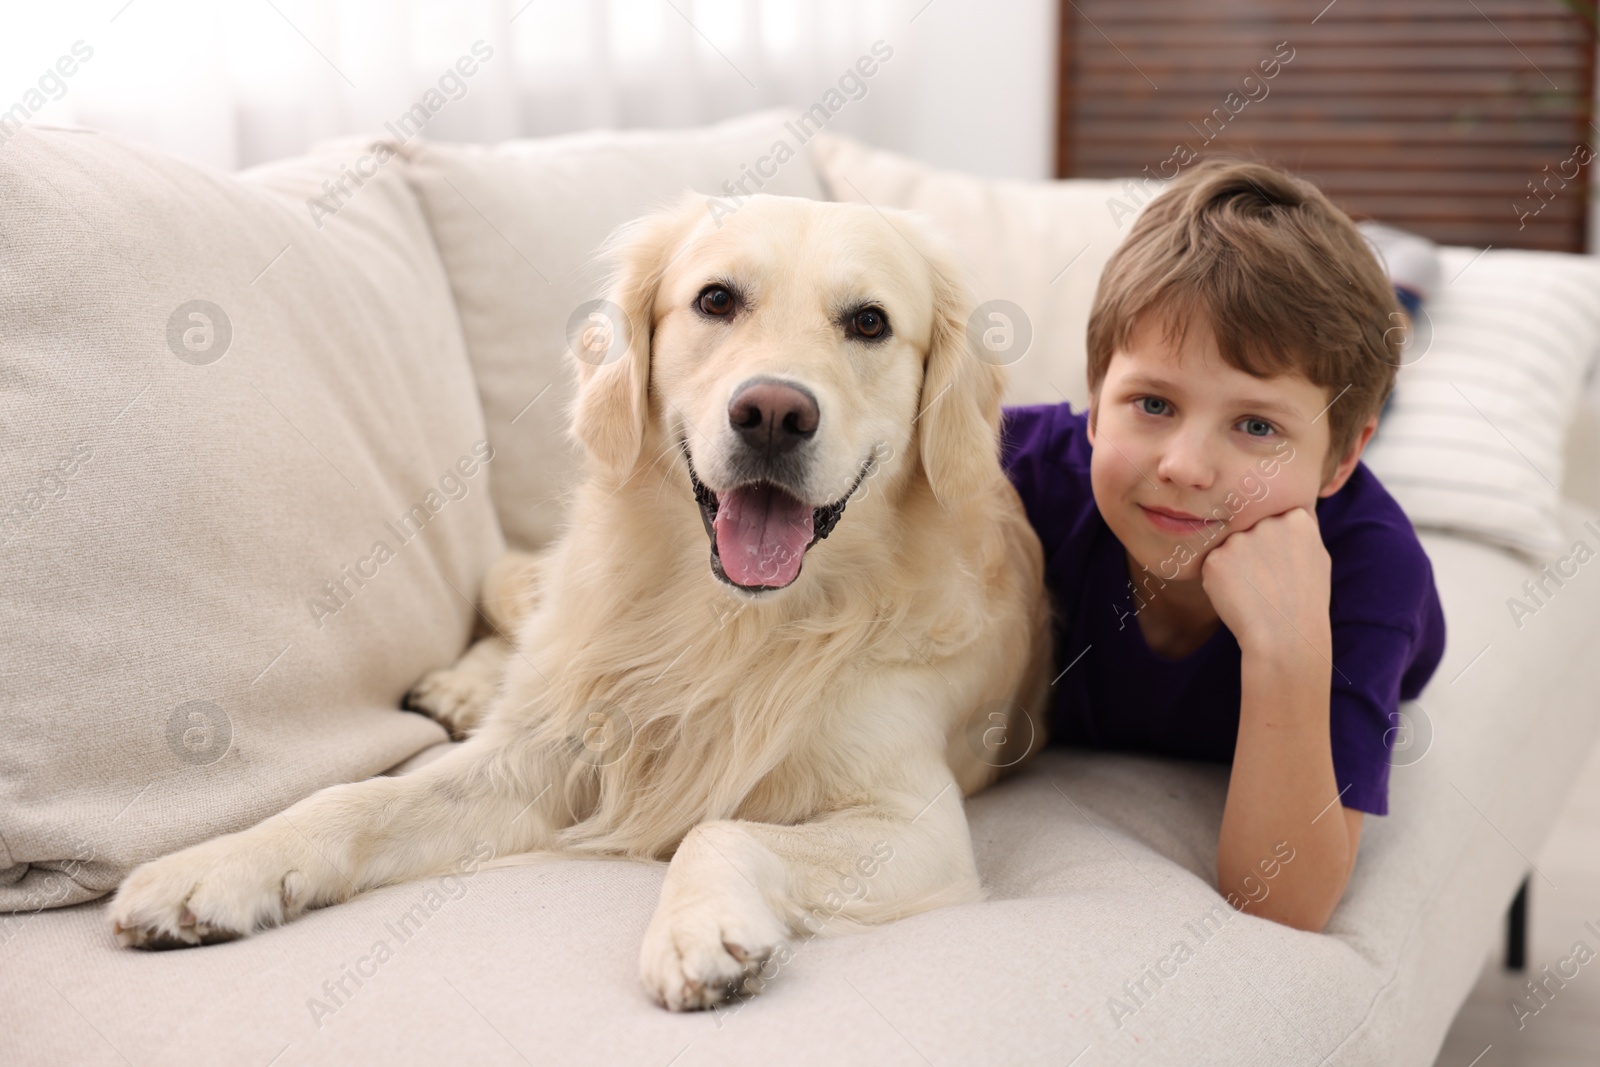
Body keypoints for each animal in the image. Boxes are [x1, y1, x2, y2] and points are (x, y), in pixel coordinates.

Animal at [109, 189, 1049, 1011]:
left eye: (869, 323)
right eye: (716, 299)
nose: (774, 413)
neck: (728, 622)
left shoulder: (916, 823)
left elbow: (717, 827)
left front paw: (701, 928)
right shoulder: (542, 752)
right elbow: (358, 796)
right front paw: (218, 864)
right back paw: (461, 686)